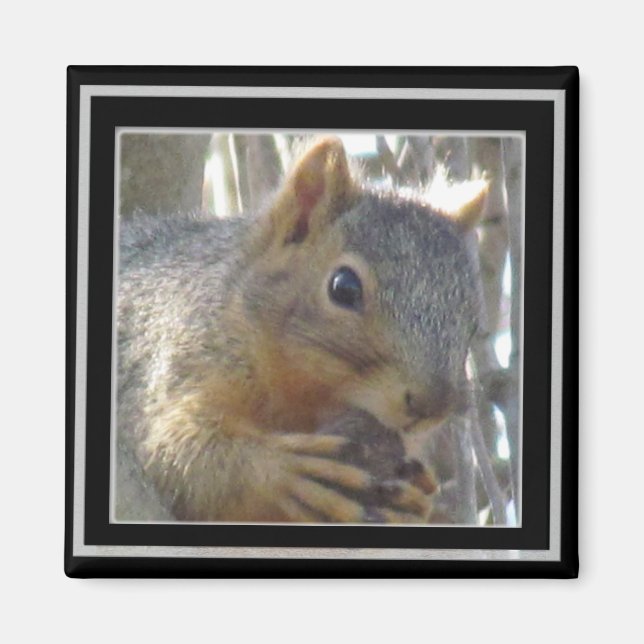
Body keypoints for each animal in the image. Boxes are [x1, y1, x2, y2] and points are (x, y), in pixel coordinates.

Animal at [115, 137, 487, 524]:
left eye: (473, 321)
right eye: (344, 288)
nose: (432, 405)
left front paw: (414, 499)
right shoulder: (170, 362)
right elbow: (177, 453)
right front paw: (283, 471)